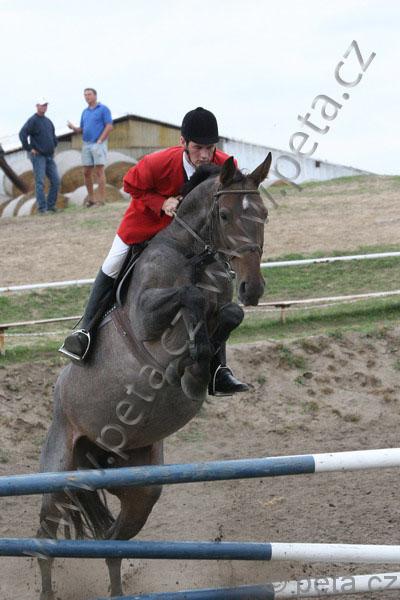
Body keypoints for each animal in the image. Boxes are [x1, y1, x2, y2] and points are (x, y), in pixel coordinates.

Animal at [36, 153, 272, 599]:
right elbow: (191, 302)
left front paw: (208, 369)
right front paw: (191, 363)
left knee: (111, 543)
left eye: (264, 214)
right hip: (59, 474)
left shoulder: (221, 307)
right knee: (44, 540)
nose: (253, 287)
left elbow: (227, 314)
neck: (194, 257)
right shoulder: (148, 319)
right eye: (226, 214)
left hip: (141, 490)